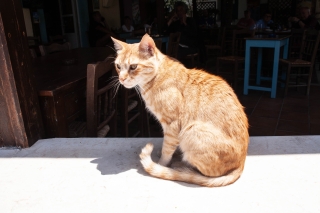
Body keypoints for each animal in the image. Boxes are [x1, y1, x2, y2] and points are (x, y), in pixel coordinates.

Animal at [112, 34, 250, 186]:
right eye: (118, 66)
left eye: (133, 67)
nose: (121, 79)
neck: (157, 76)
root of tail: (241, 164)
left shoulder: (172, 125)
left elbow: (167, 149)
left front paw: (161, 164)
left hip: (192, 129)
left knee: (205, 173)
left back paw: (182, 167)